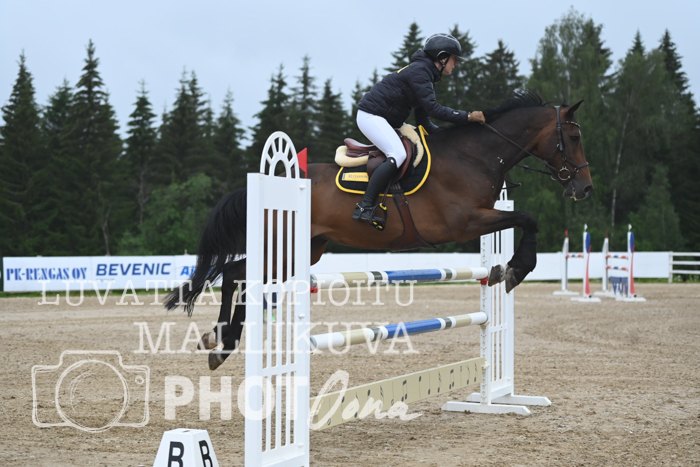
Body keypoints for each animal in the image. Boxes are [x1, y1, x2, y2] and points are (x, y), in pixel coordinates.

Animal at [164, 92, 594, 370]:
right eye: (573, 137)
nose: (584, 188)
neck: (474, 155)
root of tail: (272, 185)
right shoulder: (466, 222)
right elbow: (528, 219)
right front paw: (516, 269)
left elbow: (524, 221)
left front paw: (507, 269)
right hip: (283, 246)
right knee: (235, 274)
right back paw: (222, 343)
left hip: (302, 250)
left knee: (239, 276)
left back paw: (219, 343)